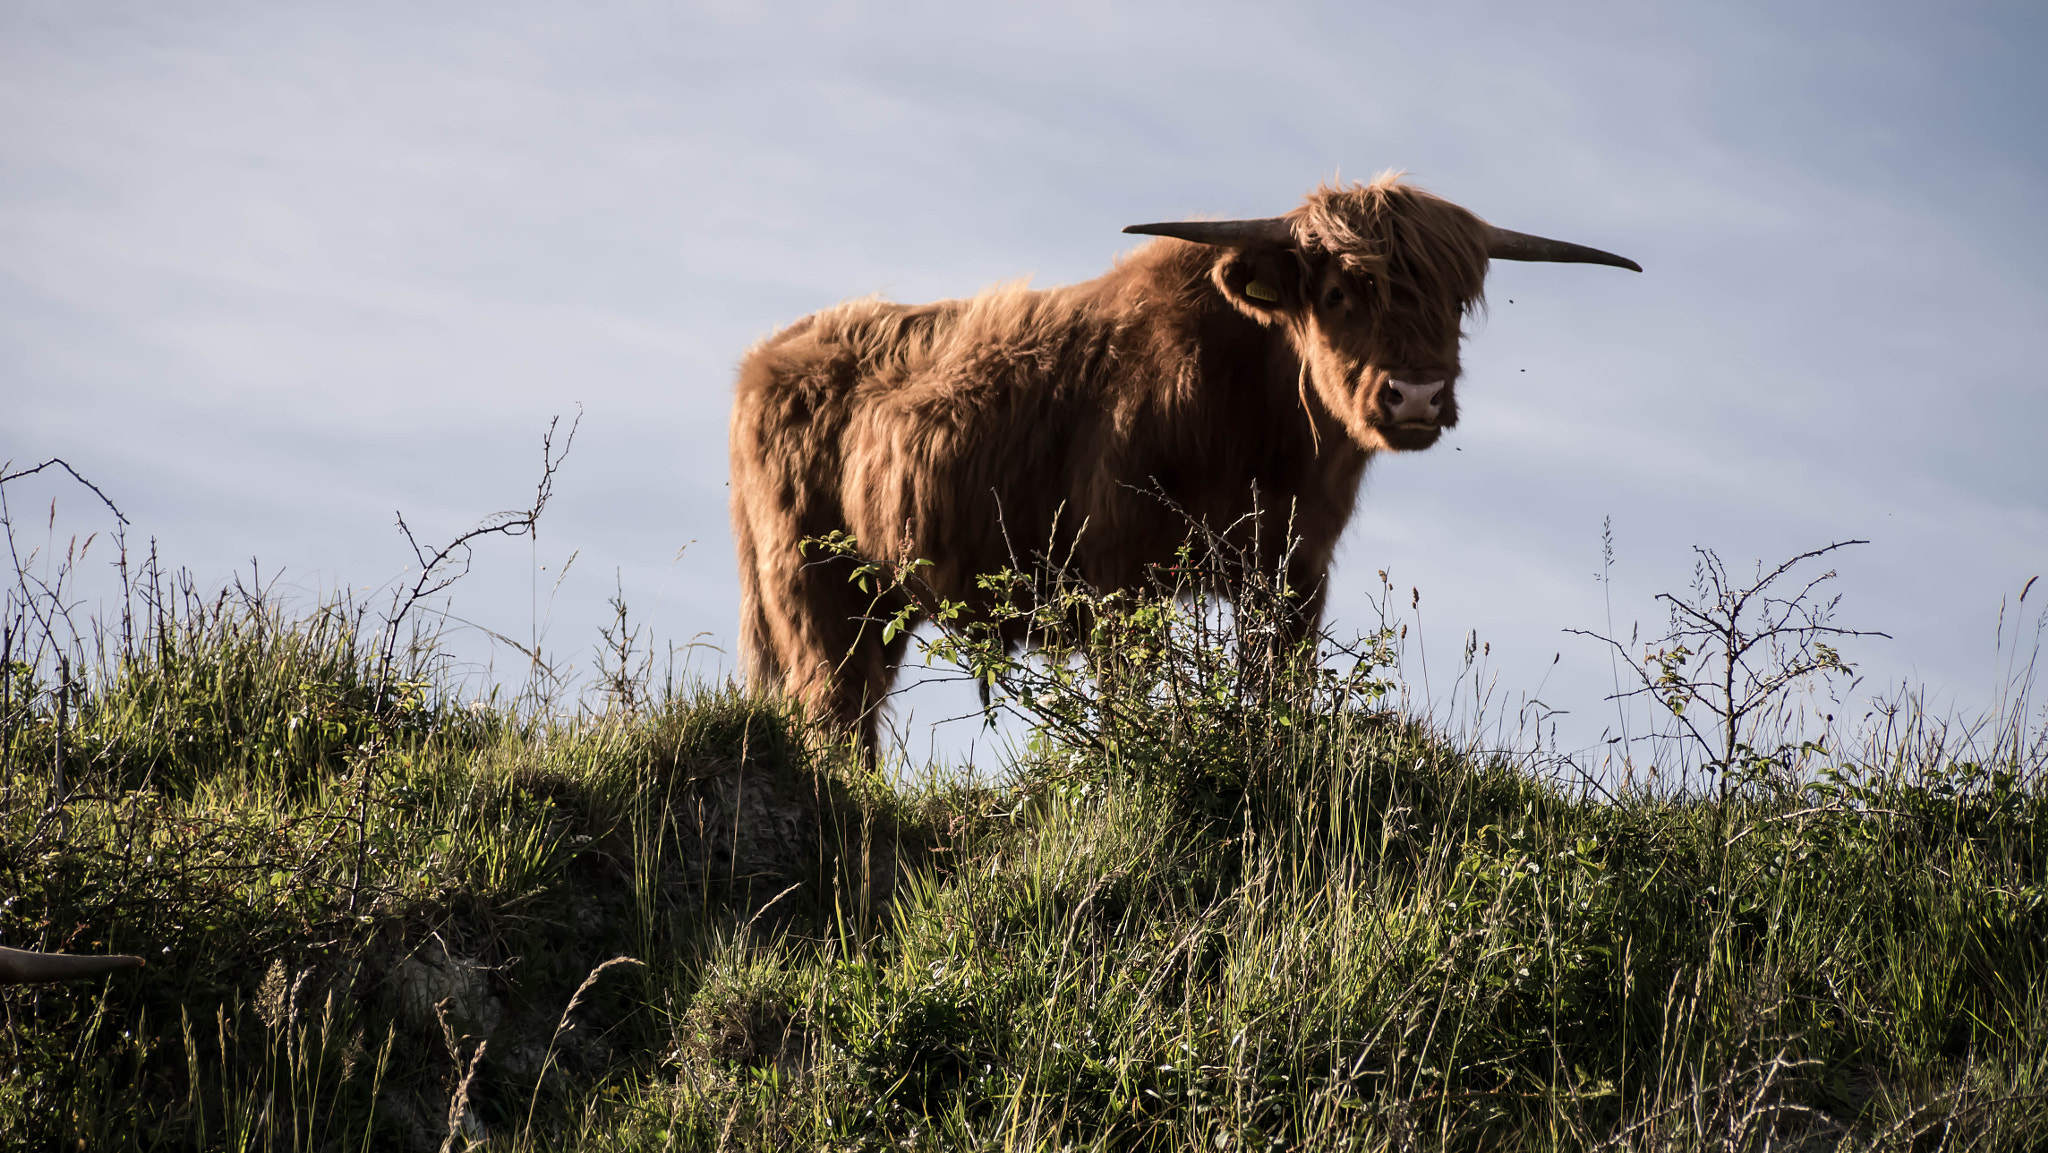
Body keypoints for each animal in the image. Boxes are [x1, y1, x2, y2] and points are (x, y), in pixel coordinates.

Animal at [729, 171, 1638, 749]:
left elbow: (1278, 687)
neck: (1261, 434)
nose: (1413, 396)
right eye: (1338, 294)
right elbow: (1128, 693)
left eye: (1455, 302)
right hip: (812, 592)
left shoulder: (1294, 571)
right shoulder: (1116, 571)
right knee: (836, 714)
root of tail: (765, 360)